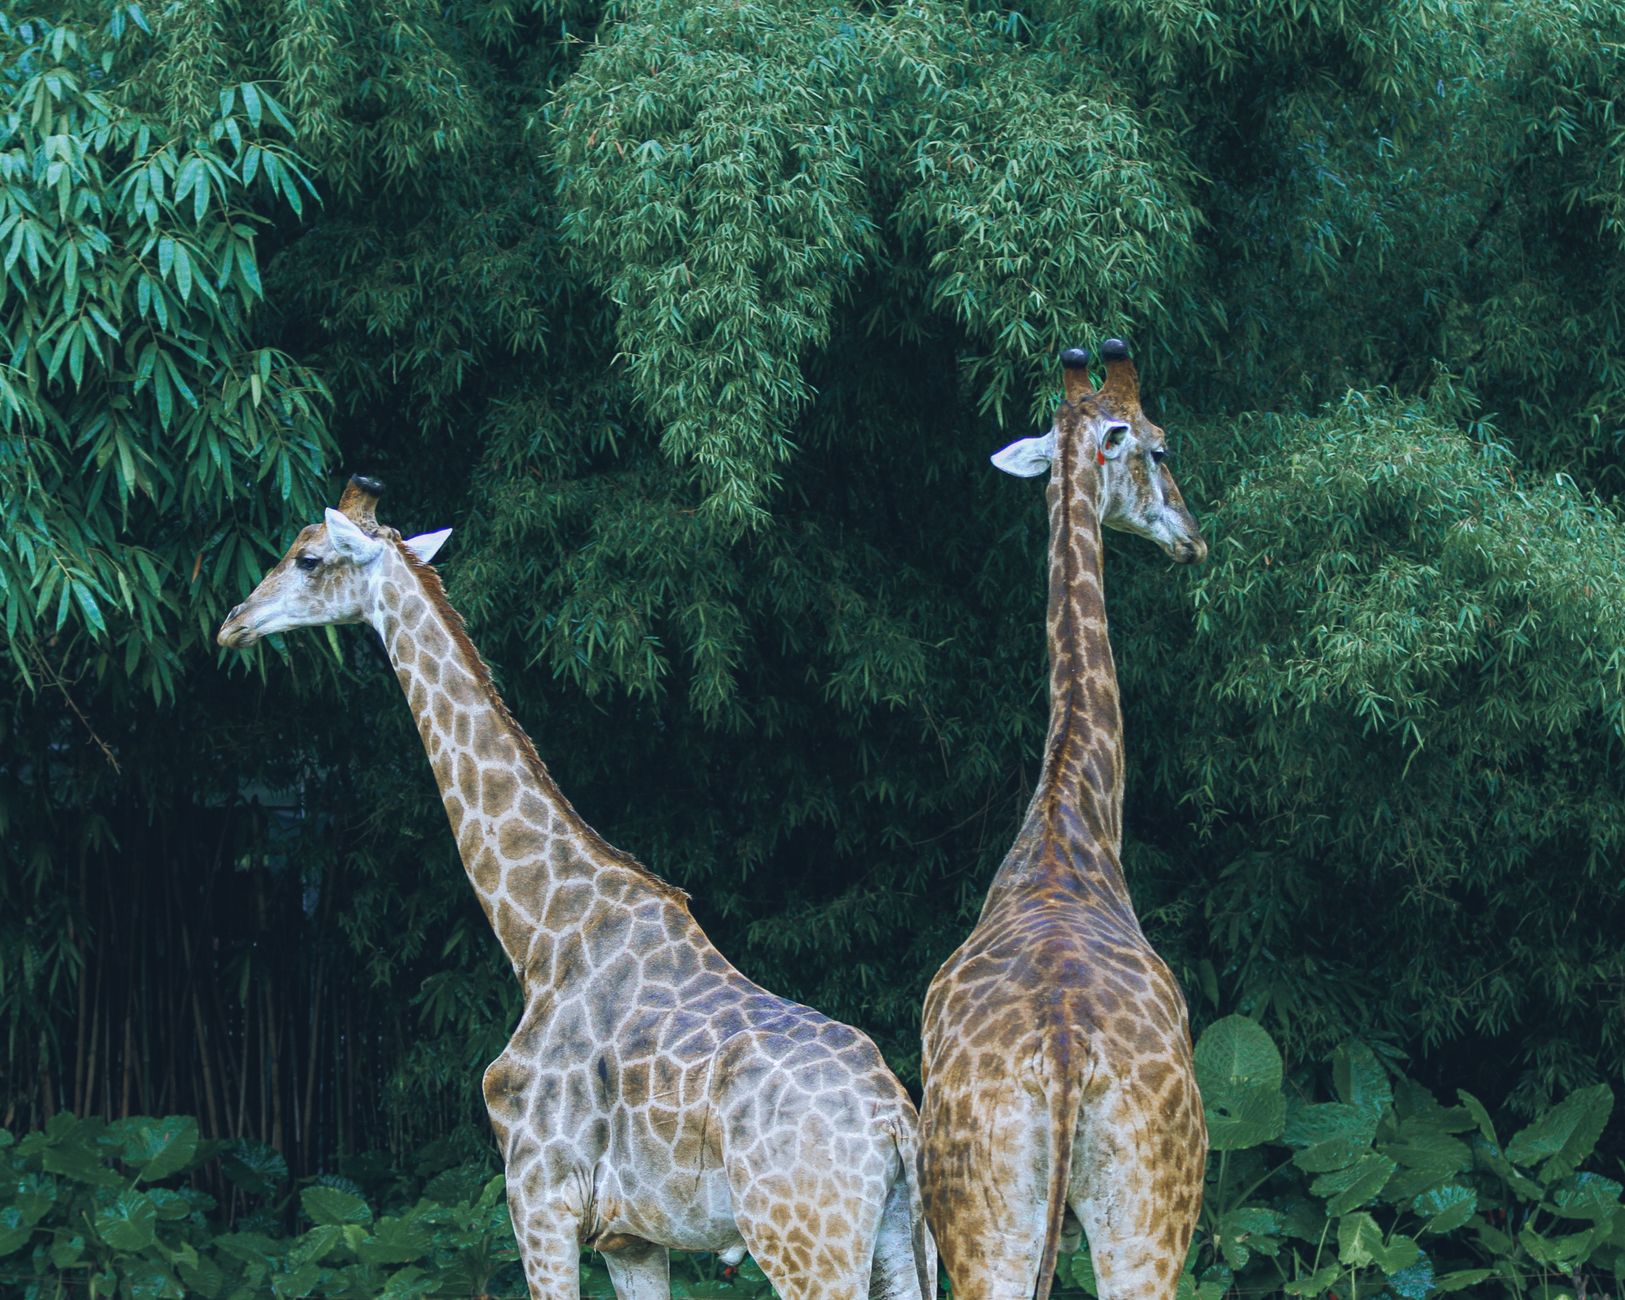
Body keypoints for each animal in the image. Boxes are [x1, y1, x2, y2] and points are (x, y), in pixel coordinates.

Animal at [217, 476, 935, 1300]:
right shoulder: (630, 1236)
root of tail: (893, 1123)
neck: (542, 931)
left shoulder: (538, 1195)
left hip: (803, 1242)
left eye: (306, 557)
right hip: (899, 1239)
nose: (232, 623)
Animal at [917, 341, 1209, 1300]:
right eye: (1158, 445)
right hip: (1150, 1211)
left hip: (991, 1224)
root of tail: (1066, 1054)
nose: (1191, 537)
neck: (1068, 823)